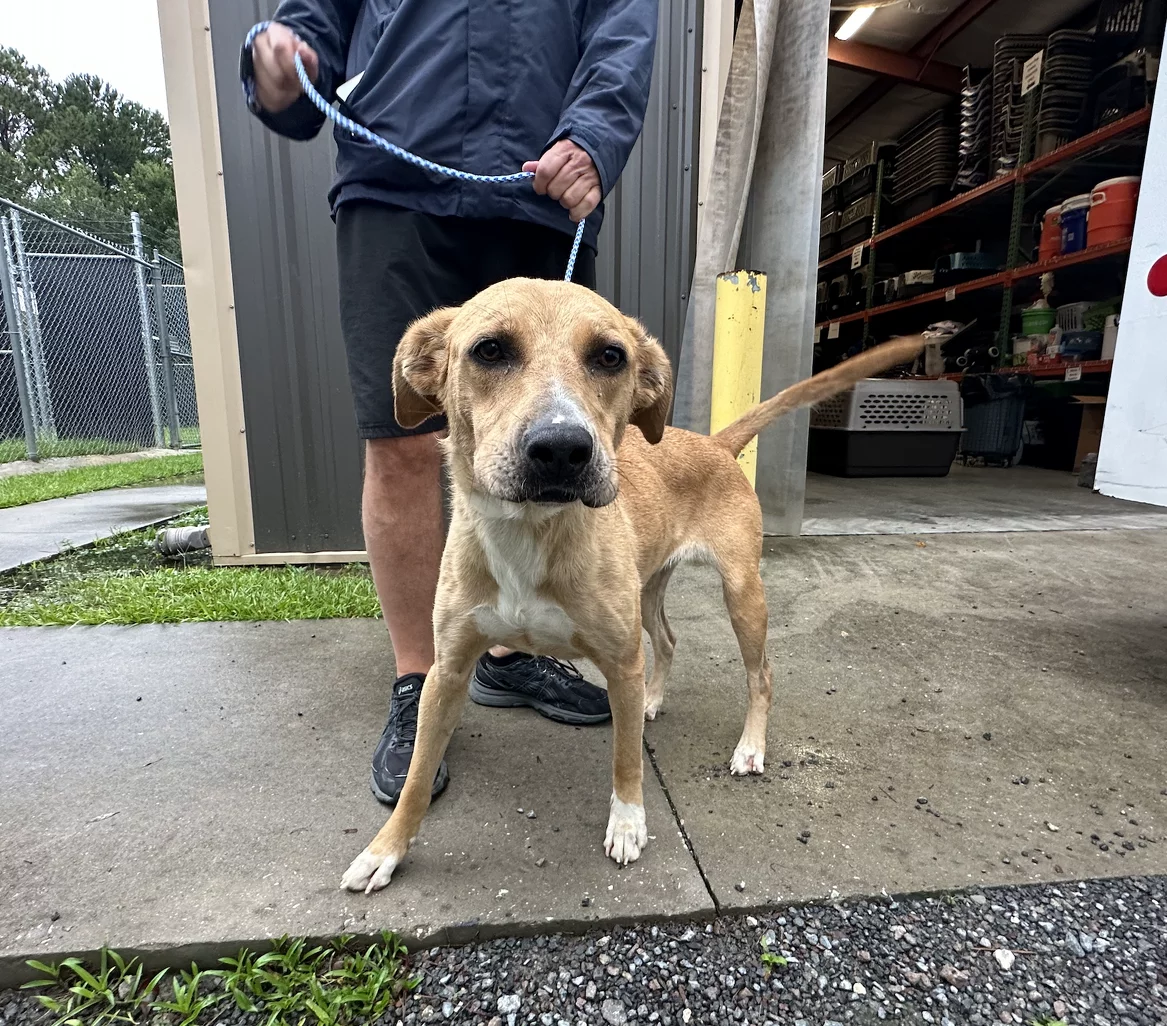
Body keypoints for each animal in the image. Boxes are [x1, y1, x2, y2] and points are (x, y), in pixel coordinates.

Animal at [338, 278, 919, 891]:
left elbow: (626, 758)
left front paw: (628, 823)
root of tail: (715, 444)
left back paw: (749, 747)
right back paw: (652, 700)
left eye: (610, 357)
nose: (562, 449)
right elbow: (417, 776)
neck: (531, 530)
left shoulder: (619, 660)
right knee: (667, 640)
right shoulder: (447, 671)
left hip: (742, 593)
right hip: (647, 590)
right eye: (489, 350)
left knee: (760, 674)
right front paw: (385, 849)